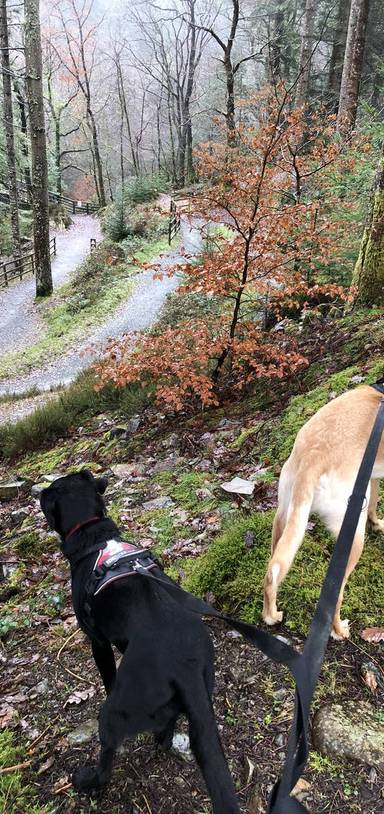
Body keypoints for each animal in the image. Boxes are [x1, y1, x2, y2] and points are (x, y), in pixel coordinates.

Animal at [40, 472, 238, 814]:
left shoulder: (98, 642)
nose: (38, 493)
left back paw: (88, 781)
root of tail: (184, 666)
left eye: (49, 492)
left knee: (107, 758)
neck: (93, 535)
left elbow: (107, 675)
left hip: (113, 712)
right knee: (168, 726)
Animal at [260, 386, 384, 640]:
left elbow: (374, 506)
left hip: (284, 518)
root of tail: (312, 460)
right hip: (352, 534)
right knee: (336, 596)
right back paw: (339, 631)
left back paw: (271, 615)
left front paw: (377, 524)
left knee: (270, 573)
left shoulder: (373, 476)